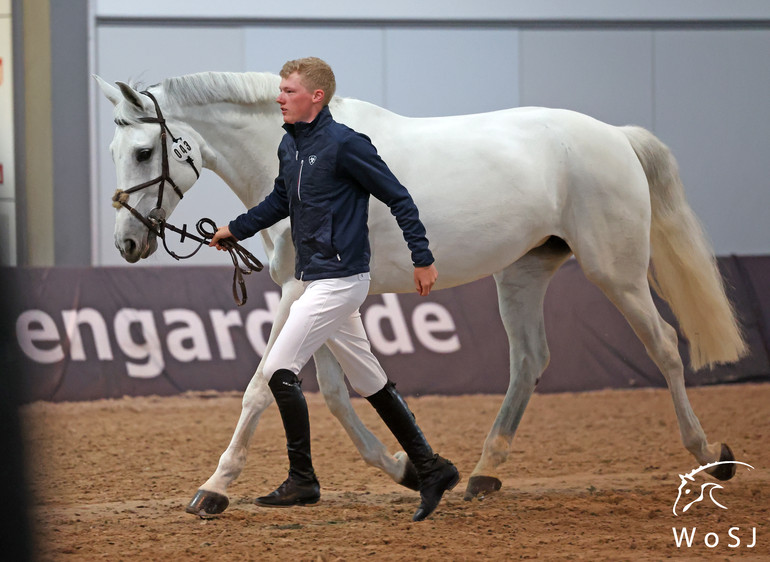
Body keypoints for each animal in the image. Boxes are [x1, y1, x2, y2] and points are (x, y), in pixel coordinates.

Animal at [94, 69, 744, 512]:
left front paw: (214, 488)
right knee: (530, 360)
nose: (127, 241)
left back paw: (708, 457)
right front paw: (405, 469)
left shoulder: (301, 291)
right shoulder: (318, 296)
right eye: (115, 151)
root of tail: (615, 135)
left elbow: (262, 386)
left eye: (145, 151)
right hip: (521, 274)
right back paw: (482, 472)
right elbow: (334, 392)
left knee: (664, 346)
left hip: (618, 272)